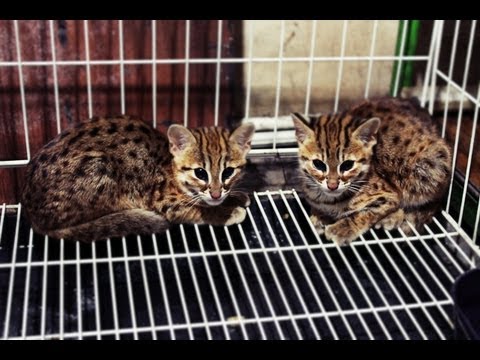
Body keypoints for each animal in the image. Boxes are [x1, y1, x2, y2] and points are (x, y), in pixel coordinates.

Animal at [22, 115, 255, 243]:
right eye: (200, 173)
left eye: (227, 172)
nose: (215, 193)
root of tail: (31, 215)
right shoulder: (165, 200)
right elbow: (199, 210)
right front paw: (227, 211)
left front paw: (235, 197)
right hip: (100, 168)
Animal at [292, 97, 454, 246]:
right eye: (318, 164)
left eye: (347, 165)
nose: (332, 185)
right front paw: (319, 216)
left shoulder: (389, 195)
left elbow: (366, 213)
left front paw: (344, 227)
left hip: (430, 166)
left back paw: (394, 217)